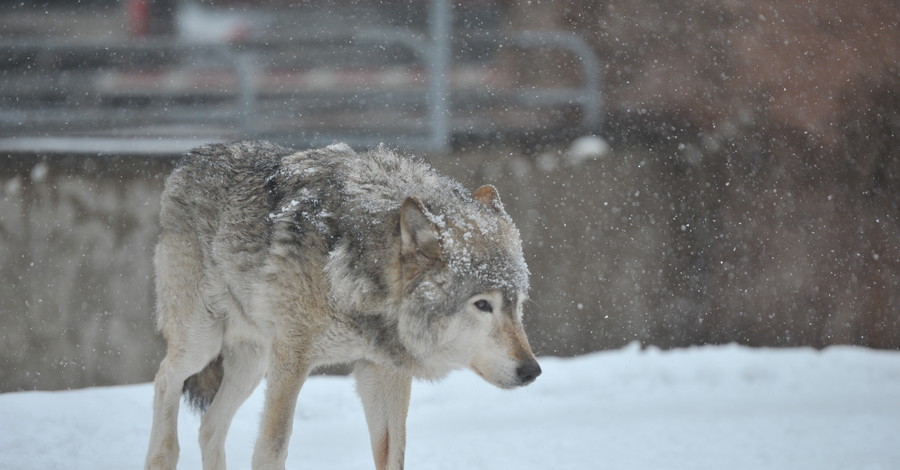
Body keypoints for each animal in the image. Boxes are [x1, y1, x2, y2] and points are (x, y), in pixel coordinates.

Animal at [146, 140, 540, 470]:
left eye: (517, 304)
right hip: (202, 342)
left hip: (252, 364)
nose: (532, 371)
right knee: (165, 377)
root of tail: (191, 158)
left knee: (210, 426)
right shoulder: (292, 360)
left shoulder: (383, 371)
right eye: (482, 305)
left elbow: (393, 454)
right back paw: (161, 455)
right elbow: (271, 449)